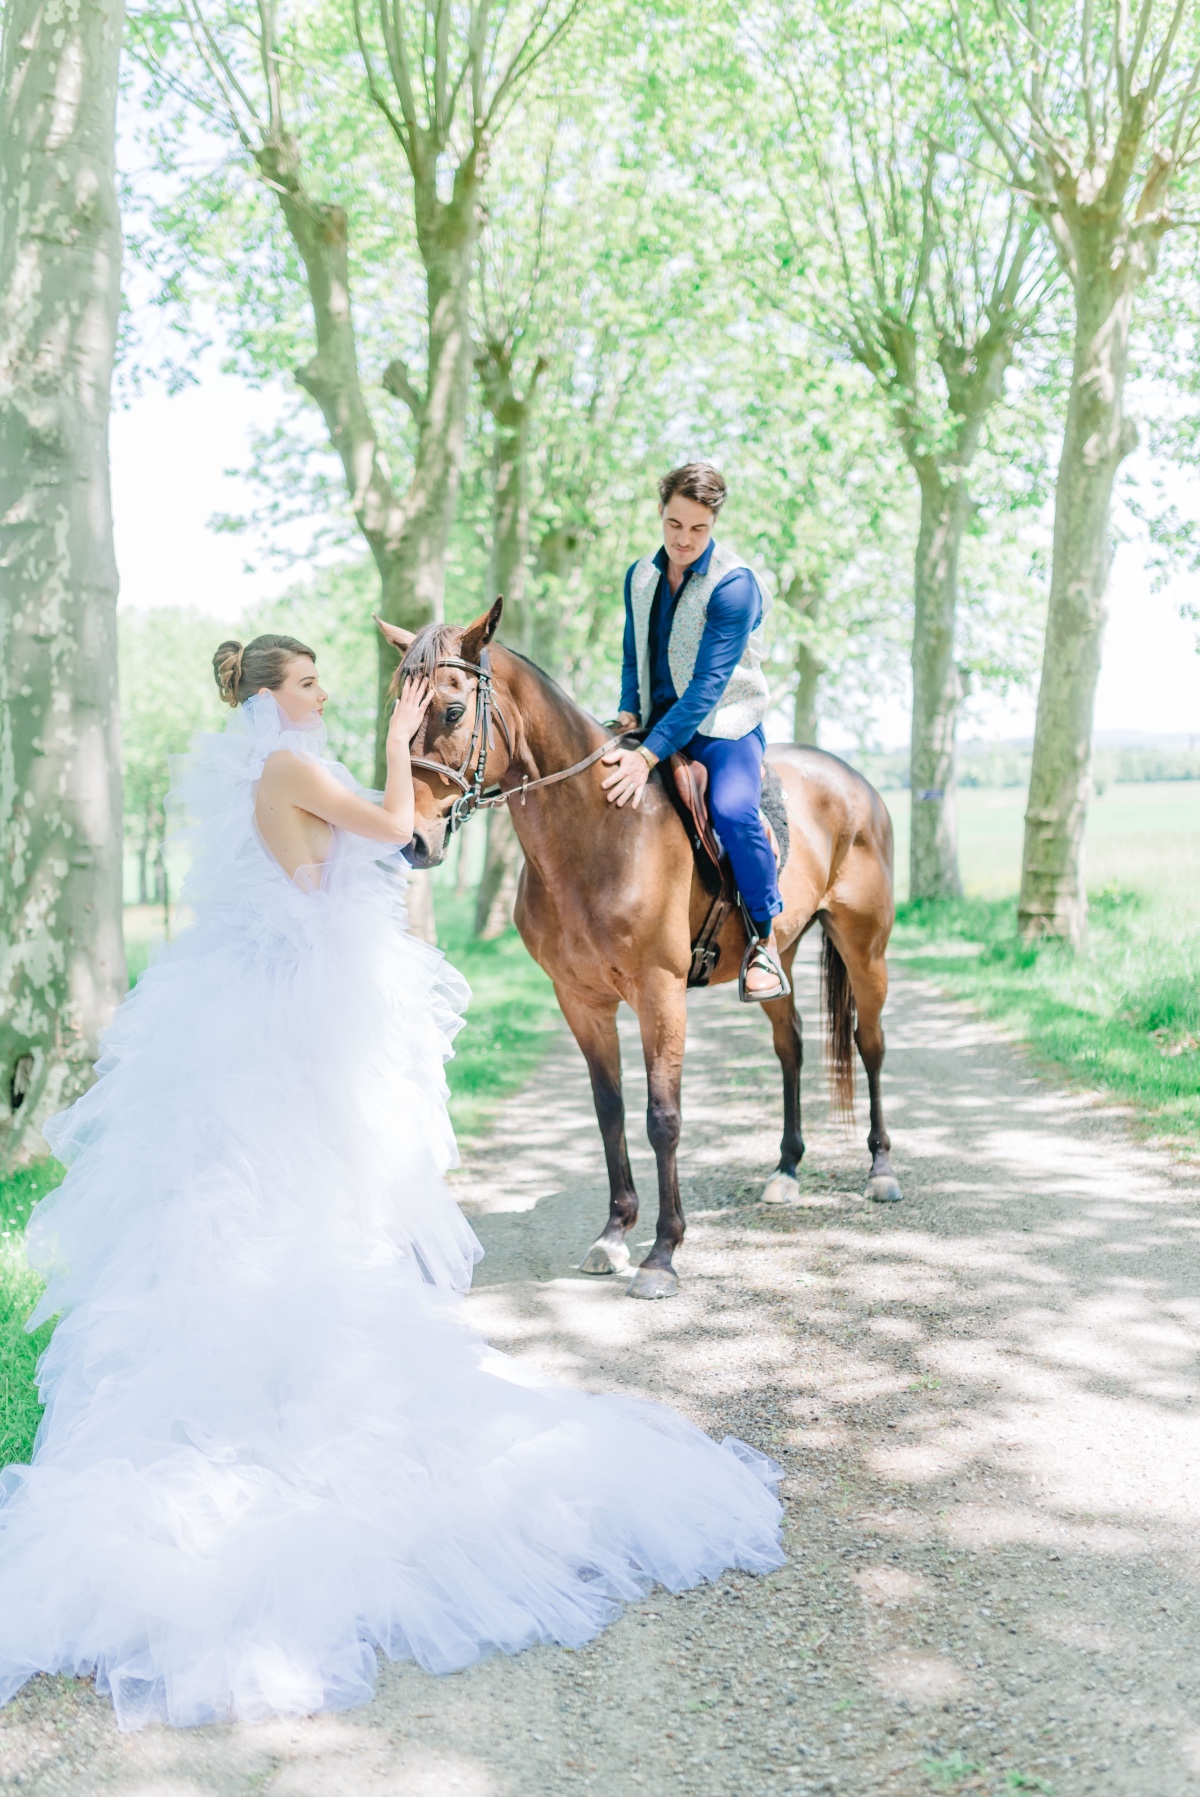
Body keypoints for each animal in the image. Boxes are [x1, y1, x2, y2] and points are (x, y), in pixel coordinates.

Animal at [382, 600, 898, 1293]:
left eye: (453, 710)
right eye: (398, 707)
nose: (412, 840)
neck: (600, 829)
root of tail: (855, 780)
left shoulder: (659, 993)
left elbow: (663, 1116)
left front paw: (662, 1251)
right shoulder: (580, 999)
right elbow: (611, 1110)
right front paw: (613, 1234)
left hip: (866, 948)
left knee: (870, 1045)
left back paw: (881, 1170)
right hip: (780, 956)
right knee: (789, 1045)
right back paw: (786, 1171)